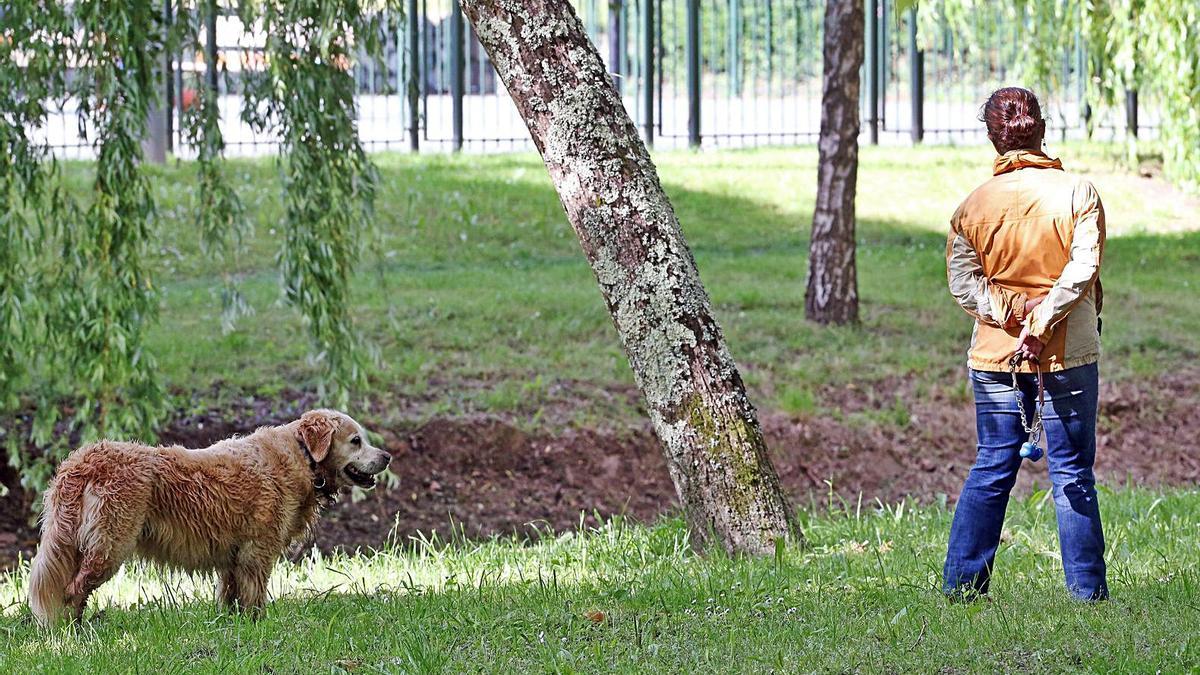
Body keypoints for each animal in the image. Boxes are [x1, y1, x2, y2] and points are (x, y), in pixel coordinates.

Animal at [27, 408, 388, 624]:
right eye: (356, 440)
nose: (387, 456)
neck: (302, 457)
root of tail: (83, 461)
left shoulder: (233, 559)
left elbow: (230, 597)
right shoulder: (257, 553)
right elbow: (255, 598)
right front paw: (259, 626)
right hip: (109, 546)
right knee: (73, 591)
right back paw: (75, 632)